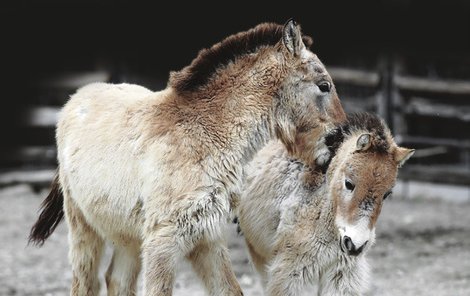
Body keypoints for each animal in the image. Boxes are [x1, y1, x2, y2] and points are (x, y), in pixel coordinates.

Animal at [29, 19, 346, 294]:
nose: (339, 142)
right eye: (324, 86)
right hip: (82, 225)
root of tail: (81, 94)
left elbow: (230, 290)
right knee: (86, 282)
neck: (205, 134)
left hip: (127, 234)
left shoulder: (207, 236)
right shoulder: (163, 241)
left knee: (116, 280)